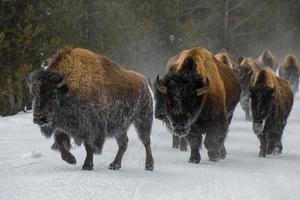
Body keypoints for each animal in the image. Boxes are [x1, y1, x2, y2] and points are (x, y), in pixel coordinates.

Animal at [26, 47, 155, 170]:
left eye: (52, 94)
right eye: (32, 95)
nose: (39, 118)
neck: (68, 89)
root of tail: (144, 82)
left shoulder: (91, 127)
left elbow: (89, 146)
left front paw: (87, 165)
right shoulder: (62, 126)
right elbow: (60, 142)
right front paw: (71, 159)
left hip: (142, 120)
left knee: (146, 141)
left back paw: (149, 165)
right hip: (120, 127)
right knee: (123, 143)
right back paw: (114, 165)